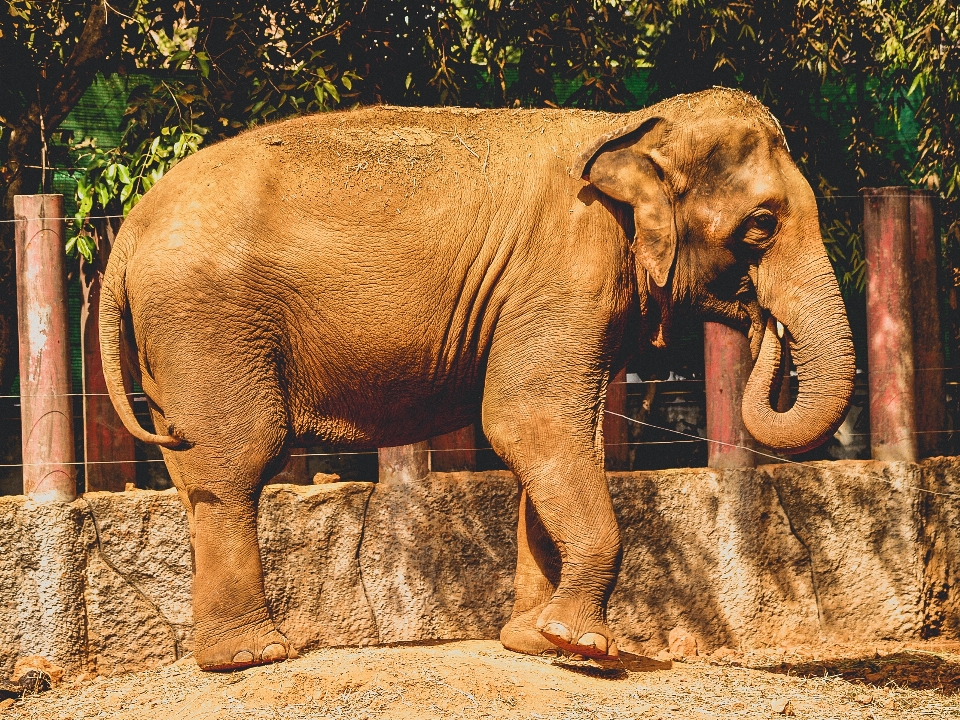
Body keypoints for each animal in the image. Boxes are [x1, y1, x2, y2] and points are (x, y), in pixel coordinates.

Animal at [99, 88, 856, 668]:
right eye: (761, 225)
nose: (766, 324)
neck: (635, 125)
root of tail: (130, 228)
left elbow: (560, 436)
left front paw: (535, 641)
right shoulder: (566, 267)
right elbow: (529, 418)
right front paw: (585, 647)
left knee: (193, 471)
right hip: (208, 320)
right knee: (235, 461)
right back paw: (251, 656)